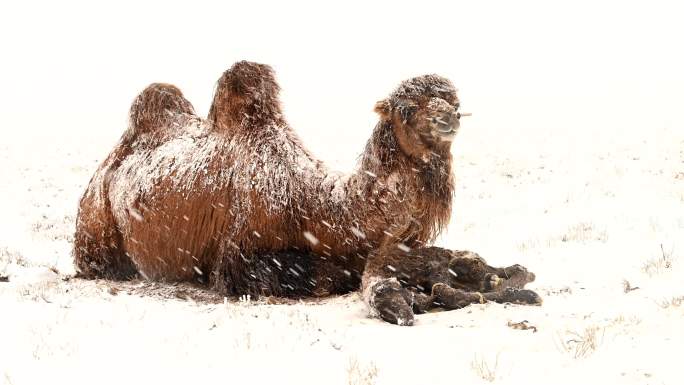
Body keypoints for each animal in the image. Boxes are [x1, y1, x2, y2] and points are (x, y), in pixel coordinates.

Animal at [73, 60, 540, 324]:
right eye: (406, 110)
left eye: (454, 101)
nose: (449, 118)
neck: (317, 205)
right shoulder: (238, 258)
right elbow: (323, 275)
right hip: (95, 230)